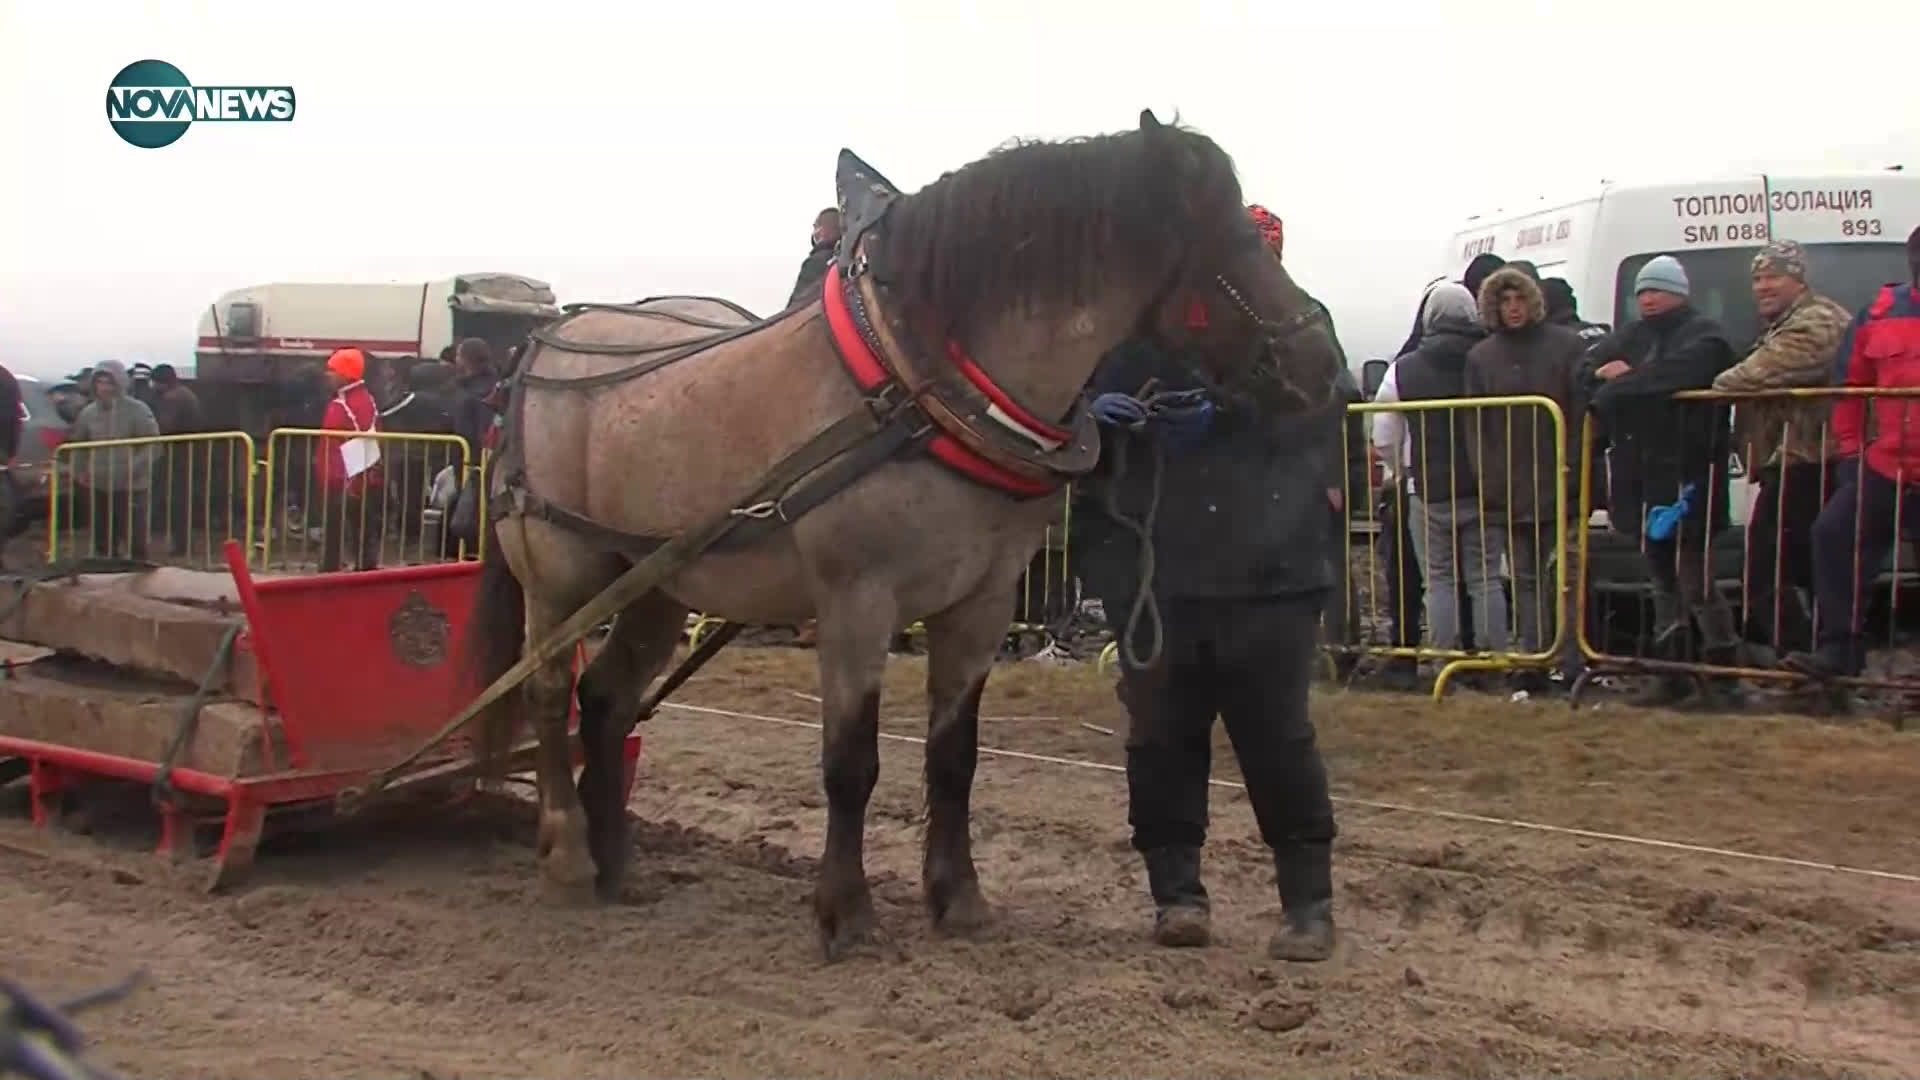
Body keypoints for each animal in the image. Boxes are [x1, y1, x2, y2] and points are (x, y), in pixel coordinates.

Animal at [462, 111, 1344, 957]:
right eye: (1233, 240)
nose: (1323, 361)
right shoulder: (857, 602)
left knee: (606, 701)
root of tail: (540, 352)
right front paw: (845, 911)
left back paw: (618, 861)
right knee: (548, 692)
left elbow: (955, 760)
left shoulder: (981, 605)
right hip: (562, 574)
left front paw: (959, 898)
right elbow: (851, 764)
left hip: (655, 584)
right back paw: (570, 854)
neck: (920, 389)